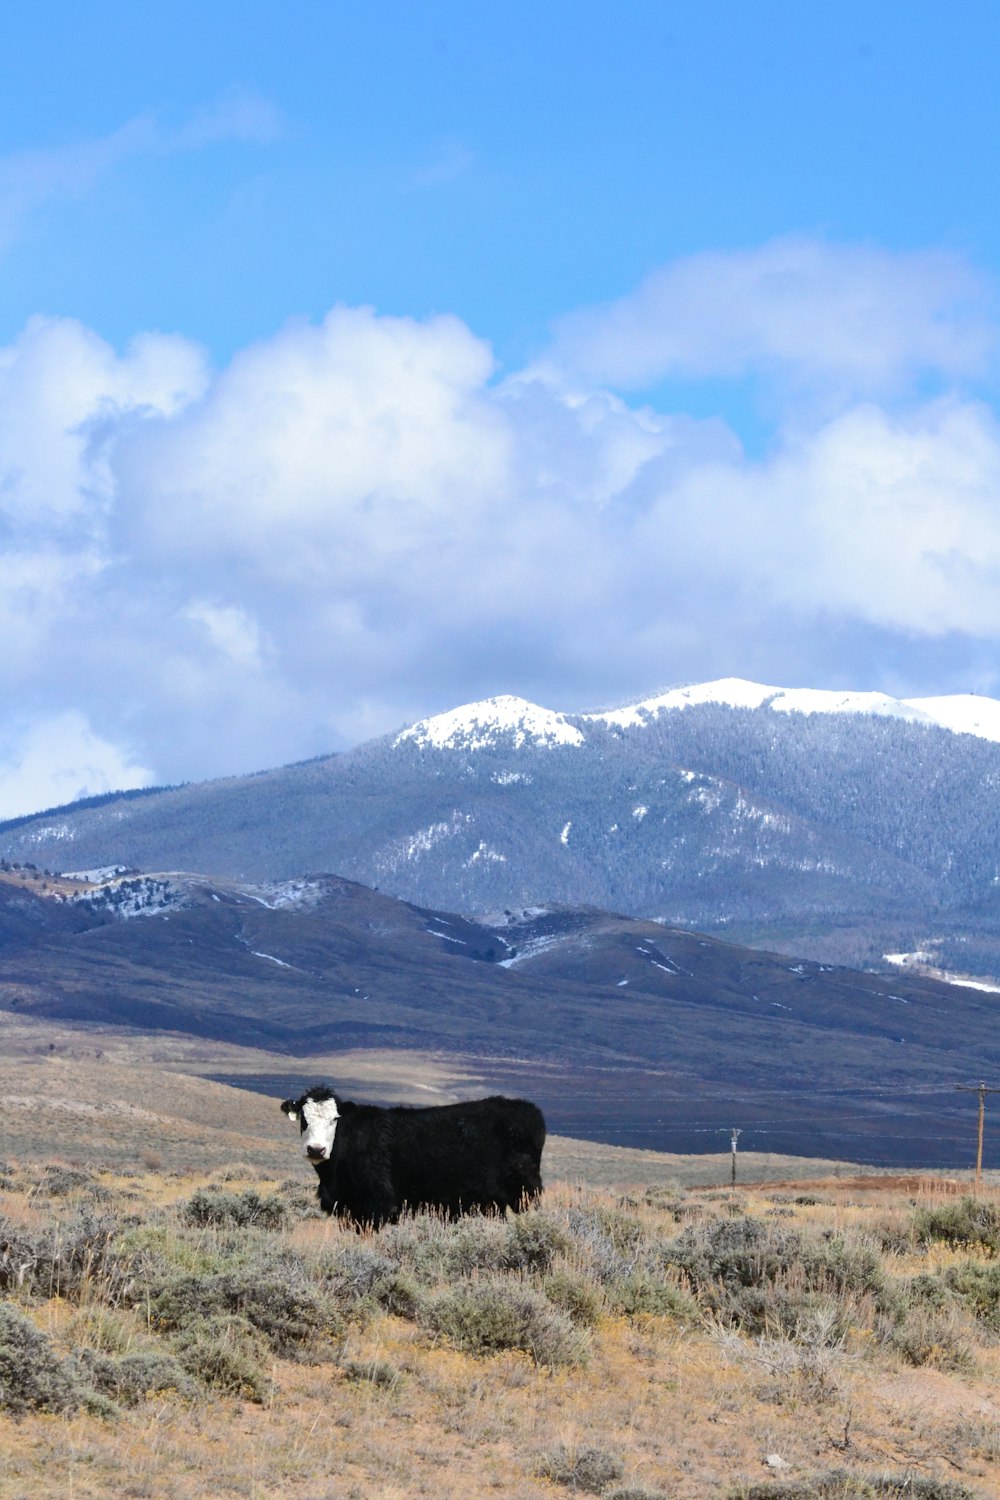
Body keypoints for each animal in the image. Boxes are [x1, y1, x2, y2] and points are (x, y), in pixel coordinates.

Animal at [281, 1092, 548, 1230]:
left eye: (335, 1119)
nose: (316, 1149)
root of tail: (530, 1111)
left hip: (524, 1193)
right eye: (303, 1119)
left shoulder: (379, 1206)